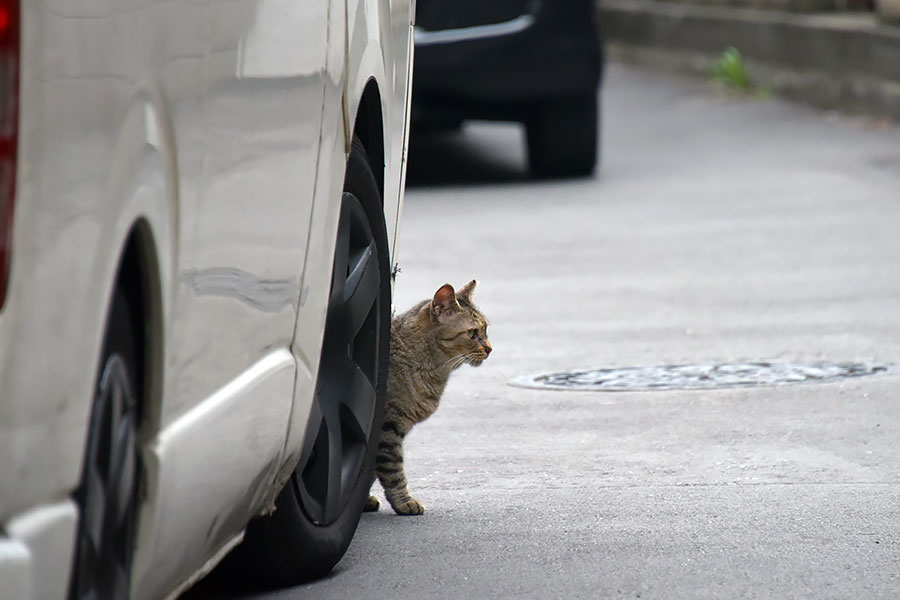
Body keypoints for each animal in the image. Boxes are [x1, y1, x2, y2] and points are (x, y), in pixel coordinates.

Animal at [364, 282, 492, 516]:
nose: (489, 348)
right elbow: (392, 468)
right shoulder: (388, 426)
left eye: (486, 329)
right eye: (472, 332)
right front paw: (404, 500)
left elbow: (373, 470)